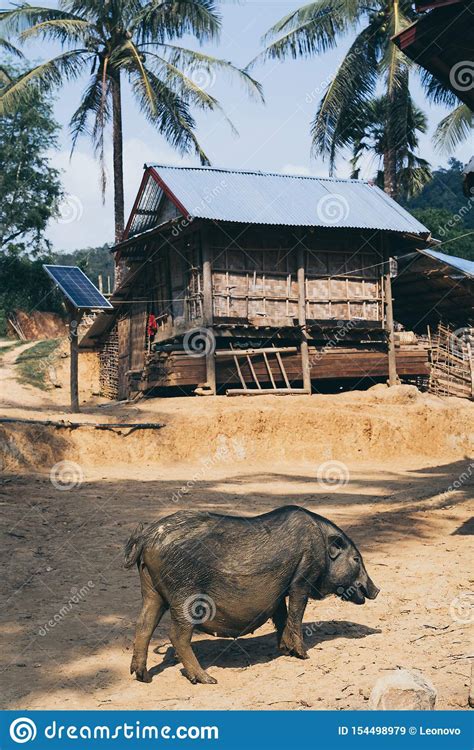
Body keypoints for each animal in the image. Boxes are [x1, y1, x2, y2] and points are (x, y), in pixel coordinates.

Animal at [124, 506, 380, 688]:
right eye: (356, 559)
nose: (377, 590)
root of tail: (147, 535)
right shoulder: (302, 578)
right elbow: (296, 613)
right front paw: (303, 655)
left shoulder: (280, 591)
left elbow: (282, 617)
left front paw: (284, 650)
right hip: (184, 593)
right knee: (177, 634)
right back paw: (207, 680)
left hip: (151, 590)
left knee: (144, 625)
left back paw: (142, 676)